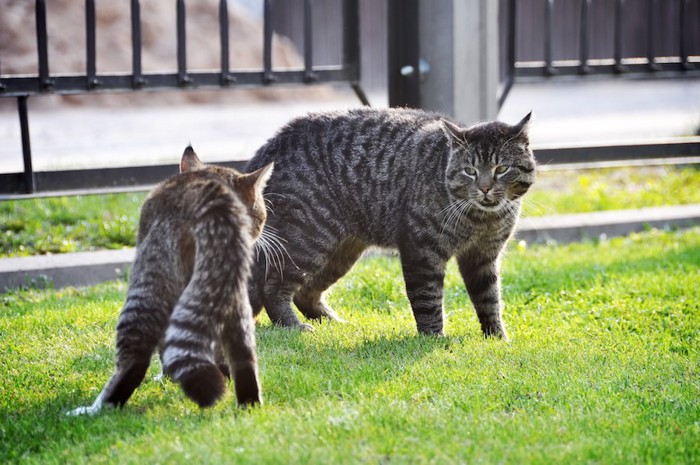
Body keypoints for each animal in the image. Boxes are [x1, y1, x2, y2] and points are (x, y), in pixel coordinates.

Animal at [68, 146, 270, 414]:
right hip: (229, 293)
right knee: (243, 355)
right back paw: (249, 403)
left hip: (150, 281)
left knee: (135, 360)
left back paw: (98, 408)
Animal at [246, 107, 536, 338]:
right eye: (470, 171)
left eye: (501, 169)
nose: (485, 188)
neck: (482, 219)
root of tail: (274, 141)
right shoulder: (421, 250)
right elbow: (427, 298)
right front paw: (433, 338)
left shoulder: (483, 256)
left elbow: (489, 299)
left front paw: (497, 338)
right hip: (306, 240)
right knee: (272, 287)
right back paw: (293, 326)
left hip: (339, 253)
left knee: (305, 292)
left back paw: (334, 322)